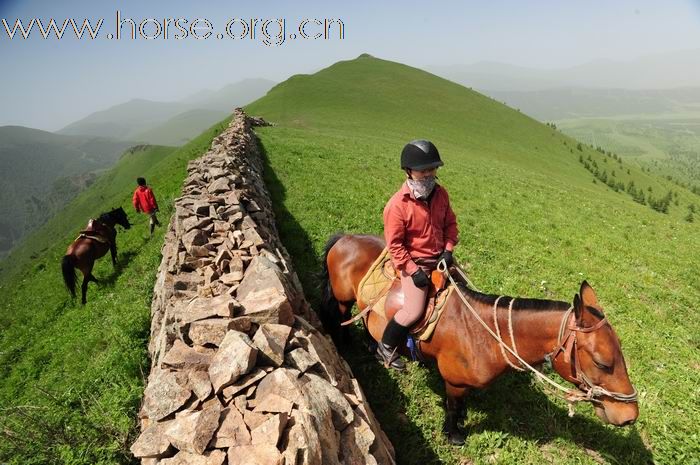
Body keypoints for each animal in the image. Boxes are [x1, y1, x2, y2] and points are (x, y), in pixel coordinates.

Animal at [322, 234, 640, 444]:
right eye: (602, 363)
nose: (630, 415)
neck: (481, 334)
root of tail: (346, 237)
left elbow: (462, 405)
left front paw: (463, 419)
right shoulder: (453, 381)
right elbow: (452, 407)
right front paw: (454, 434)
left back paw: (378, 349)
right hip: (342, 300)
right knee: (340, 318)